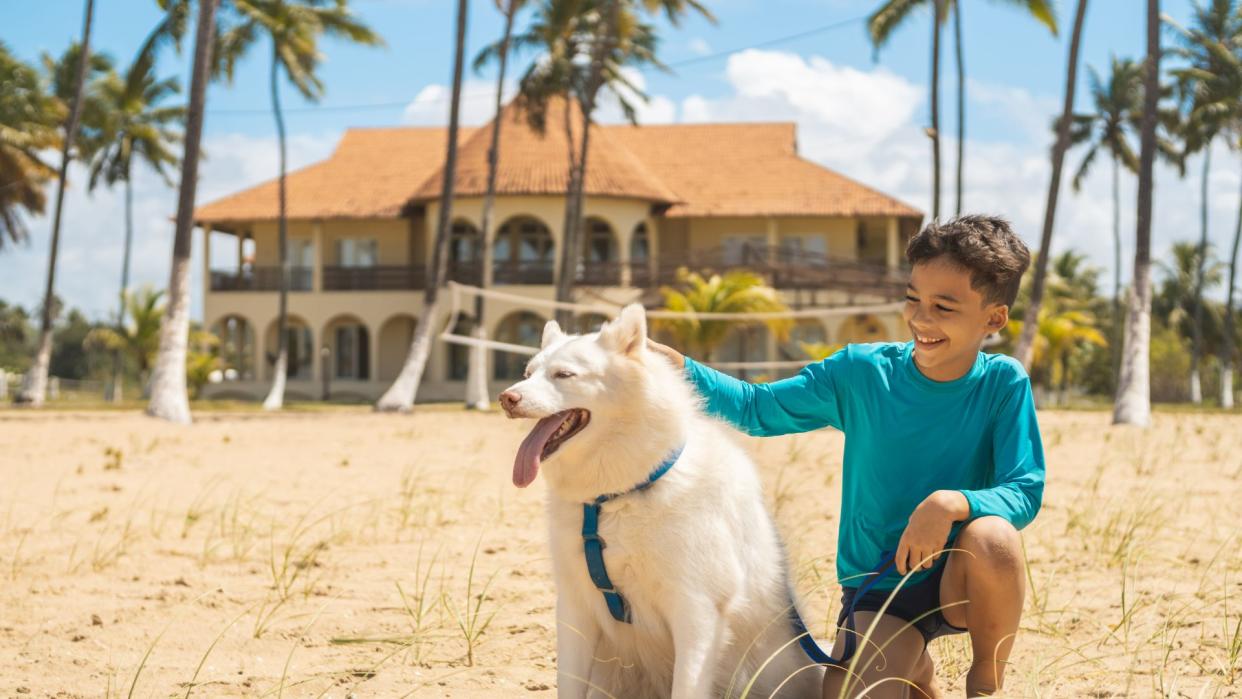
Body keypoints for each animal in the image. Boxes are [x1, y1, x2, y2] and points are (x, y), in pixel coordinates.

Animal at [494, 304, 824, 695]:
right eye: (528, 373)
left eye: (564, 374)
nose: (506, 398)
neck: (617, 497)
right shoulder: (575, 608)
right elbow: (568, 685)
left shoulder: (697, 611)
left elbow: (687, 686)